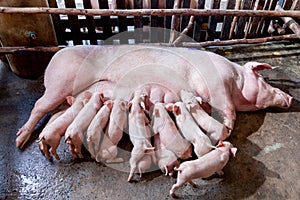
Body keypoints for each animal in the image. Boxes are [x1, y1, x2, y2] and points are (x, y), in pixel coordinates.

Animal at [15, 45, 292, 148]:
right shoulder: (218, 85)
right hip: (60, 83)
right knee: (39, 105)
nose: (290, 99)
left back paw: (43, 142)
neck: (236, 80)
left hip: (70, 97)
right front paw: (222, 131)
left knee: (56, 113)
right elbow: (227, 110)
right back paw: (20, 140)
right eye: (263, 80)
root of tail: (55, 56)